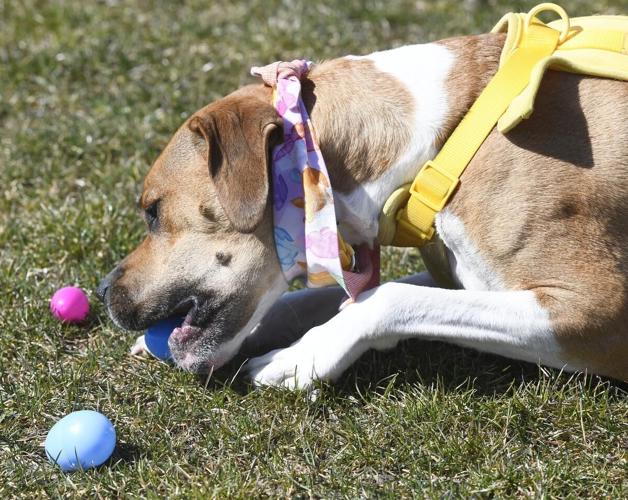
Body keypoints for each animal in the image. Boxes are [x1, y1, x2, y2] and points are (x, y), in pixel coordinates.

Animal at [98, 33, 628, 388]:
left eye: (152, 211)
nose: (102, 290)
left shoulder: (596, 312)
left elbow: (386, 296)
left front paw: (300, 357)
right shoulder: (455, 277)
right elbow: (320, 297)